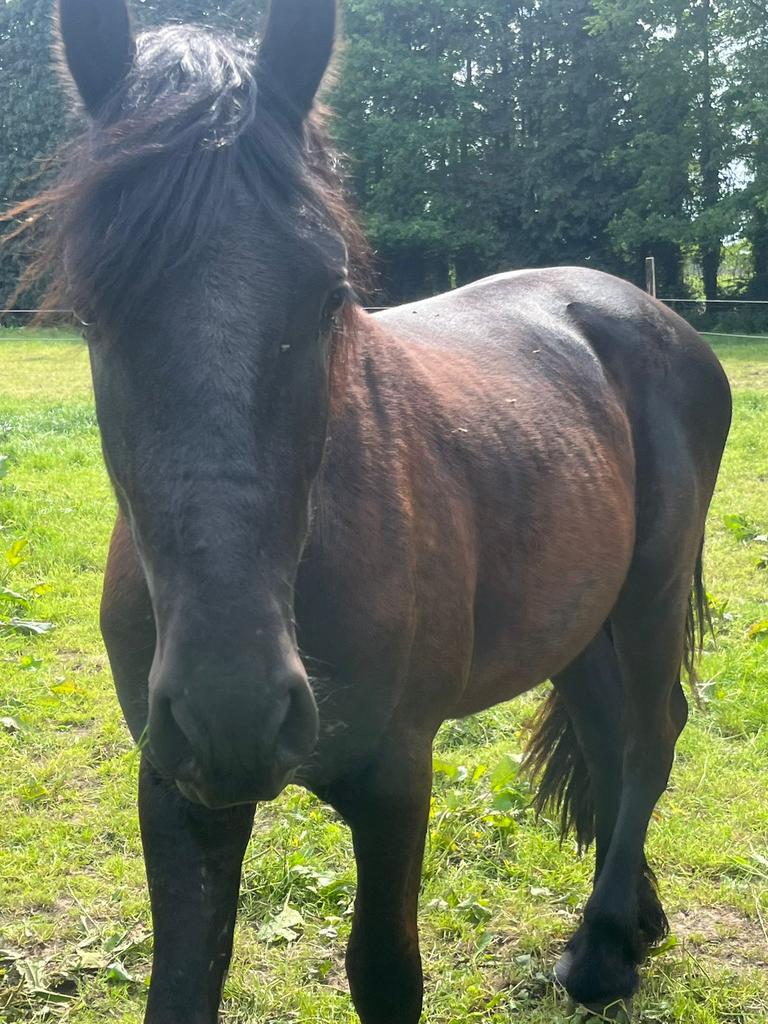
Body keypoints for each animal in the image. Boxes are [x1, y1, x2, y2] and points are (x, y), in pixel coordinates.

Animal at [8, 0, 731, 1020]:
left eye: (330, 296)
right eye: (90, 310)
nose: (235, 707)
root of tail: (648, 312)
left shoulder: (396, 779)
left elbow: (386, 972)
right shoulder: (177, 784)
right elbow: (183, 983)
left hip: (651, 590)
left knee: (648, 736)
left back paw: (600, 951)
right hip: (578, 616)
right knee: (606, 735)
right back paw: (633, 921)